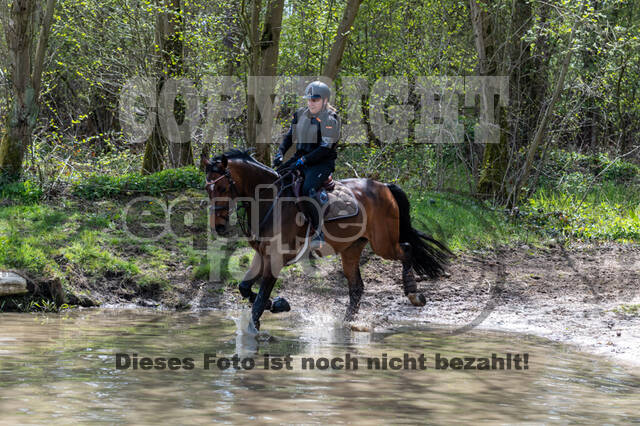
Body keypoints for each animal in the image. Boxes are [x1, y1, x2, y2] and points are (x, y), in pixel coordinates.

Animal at [201, 149, 450, 330]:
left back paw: (414, 295)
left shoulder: (276, 257)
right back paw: (347, 323)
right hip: (352, 248)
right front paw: (281, 304)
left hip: (383, 244)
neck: (269, 201)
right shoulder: (262, 255)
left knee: (406, 249)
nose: (218, 227)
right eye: (207, 188)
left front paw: (256, 330)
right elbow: (245, 288)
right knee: (357, 287)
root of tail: (385, 187)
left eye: (221, 187)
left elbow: (259, 301)